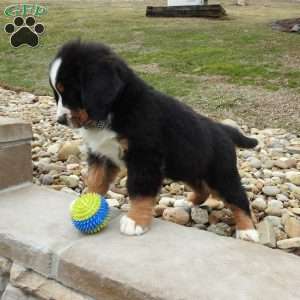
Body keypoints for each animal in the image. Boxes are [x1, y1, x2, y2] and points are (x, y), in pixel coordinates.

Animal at [48, 40, 258, 241]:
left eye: (69, 92)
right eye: (57, 93)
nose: (60, 120)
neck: (114, 110)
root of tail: (223, 129)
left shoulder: (144, 157)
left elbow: (140, 188)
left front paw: (135, 221)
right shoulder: (102, 155)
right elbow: (95, 180)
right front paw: (87, 200)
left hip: (221, 173)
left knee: (238, 197)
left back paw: (247, 230)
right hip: (188, 168)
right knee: (203, 188)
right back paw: (187, 201)